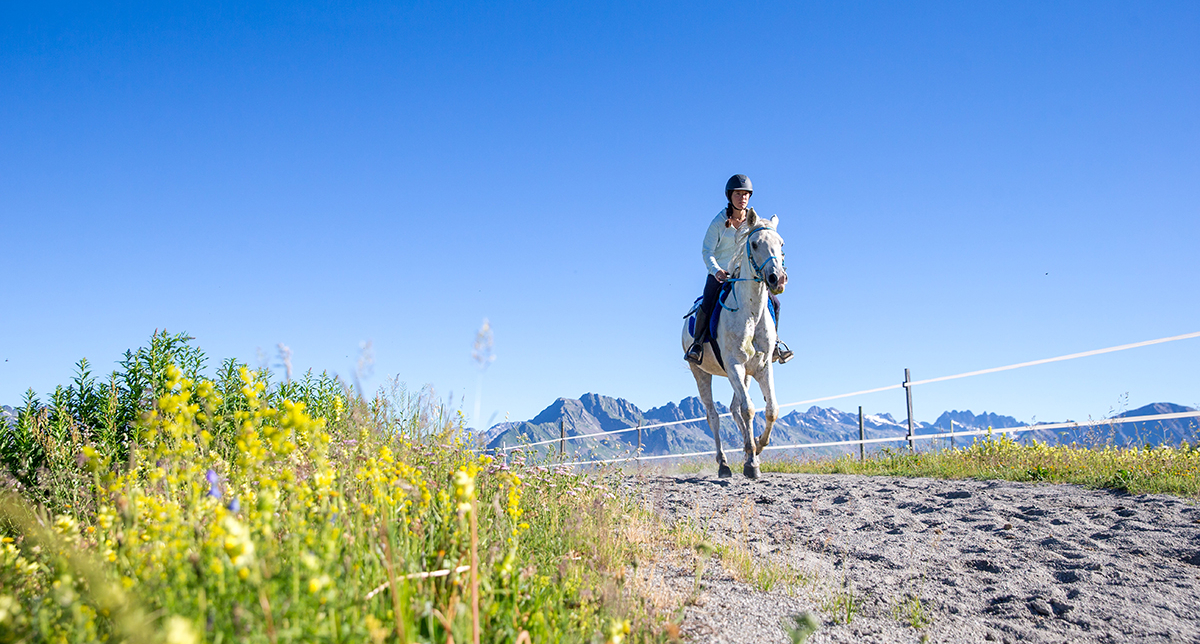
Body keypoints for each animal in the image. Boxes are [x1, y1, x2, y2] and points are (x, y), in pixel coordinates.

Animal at [681, 211, 788, 479]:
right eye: (755, 244)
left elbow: (771, 409)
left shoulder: (762, 367)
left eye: (781, 244)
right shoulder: (734, 365)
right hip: (701, 372)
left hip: (744, 374)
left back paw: (748, 450)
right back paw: (723, 464)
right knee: (713, 415)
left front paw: (757, 447)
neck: (750, 313)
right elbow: (748, 409)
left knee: (734, 408)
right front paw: (751, 464)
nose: (778, 279)